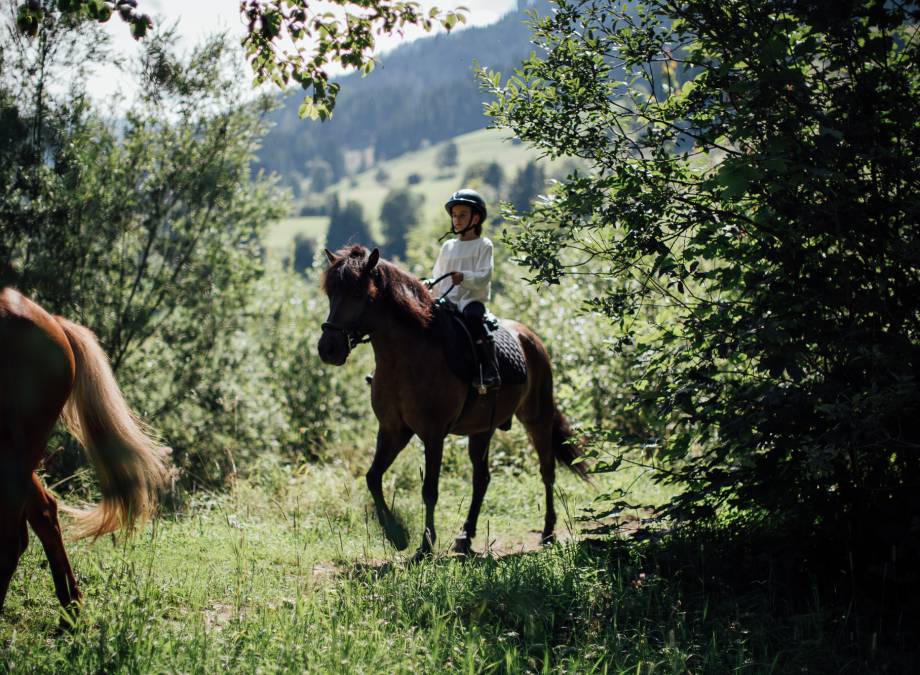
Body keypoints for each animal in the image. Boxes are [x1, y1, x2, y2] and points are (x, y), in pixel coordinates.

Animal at [320, 247, 584, 560]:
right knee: (482, 479)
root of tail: (531, 338)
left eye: (359, 294)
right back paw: (466, 536)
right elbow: (372, 477)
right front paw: (397, 535)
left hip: (537, 419)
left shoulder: (433, 435)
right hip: (483, 430)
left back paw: (548, 532)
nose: (327, 349)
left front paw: (425, 545)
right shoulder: (392, 430)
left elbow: (429, 490)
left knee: (547, 470)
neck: (405, 357)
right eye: (330, 293)